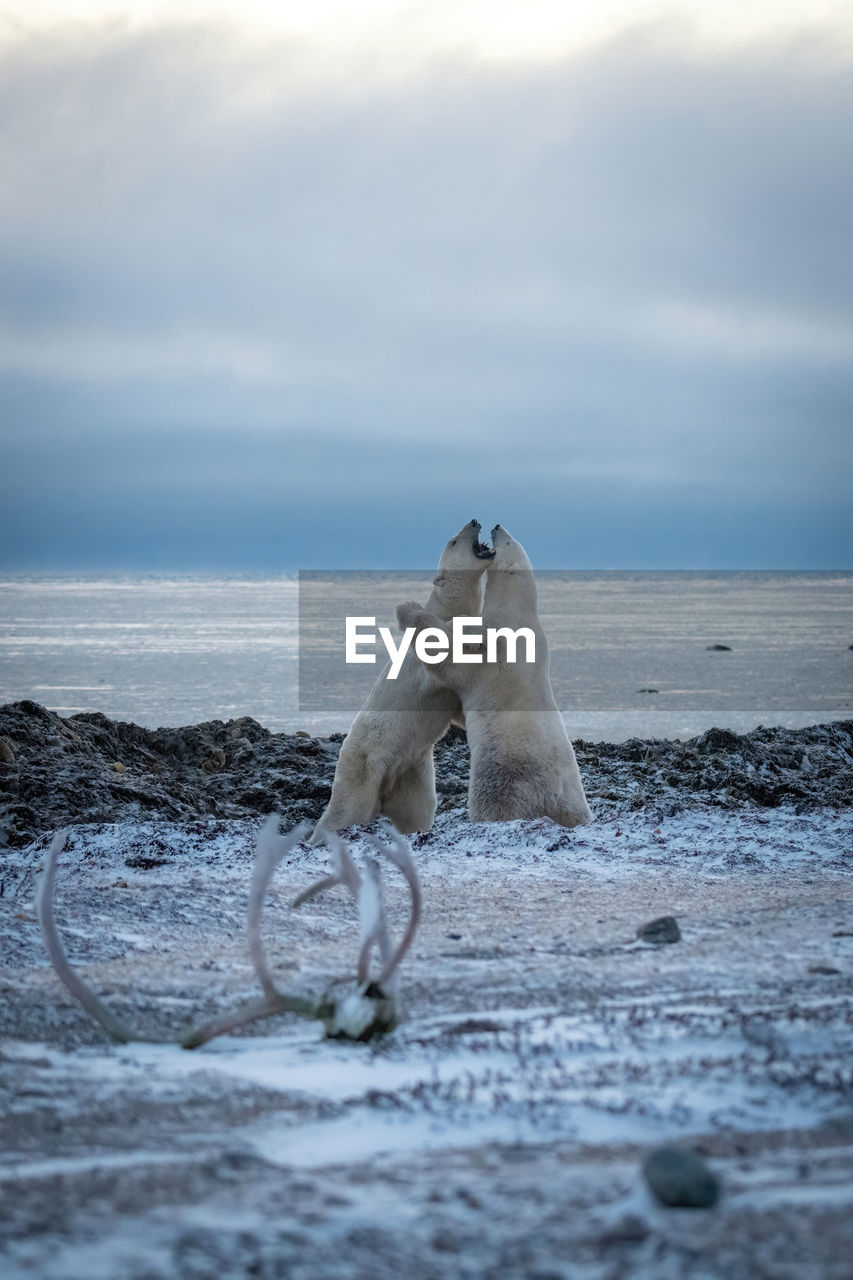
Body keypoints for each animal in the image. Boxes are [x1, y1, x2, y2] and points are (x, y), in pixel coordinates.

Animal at [308, 519, 491, 839]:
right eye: (454, 541)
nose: (474, 520)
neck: (446, 606)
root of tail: (385, 790)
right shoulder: (419, 663)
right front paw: (475, 633)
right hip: (364, 764)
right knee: (344, 810)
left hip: (411, 771)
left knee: (418, 810)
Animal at [394, 522, 589, 829]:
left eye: (509, 541)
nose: (497, 526)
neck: (518, 616)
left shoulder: (496, 649)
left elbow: (452, 656)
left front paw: (408, 608)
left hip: (505, 780)